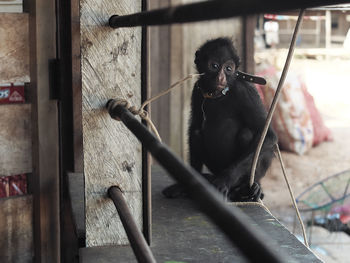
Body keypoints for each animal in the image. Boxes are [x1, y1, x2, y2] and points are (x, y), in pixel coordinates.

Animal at [163, 37, 278, 202]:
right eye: (214, 66)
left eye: (228, 68)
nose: (221, 77)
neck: (219, 95)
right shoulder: (197, 89)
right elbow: (194, 127)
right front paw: (188, 183)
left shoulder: (245, 92)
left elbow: (268, 135)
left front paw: (225, 180)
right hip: (215, 167)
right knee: (197, 134)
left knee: (247, 134)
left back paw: (246, 188)